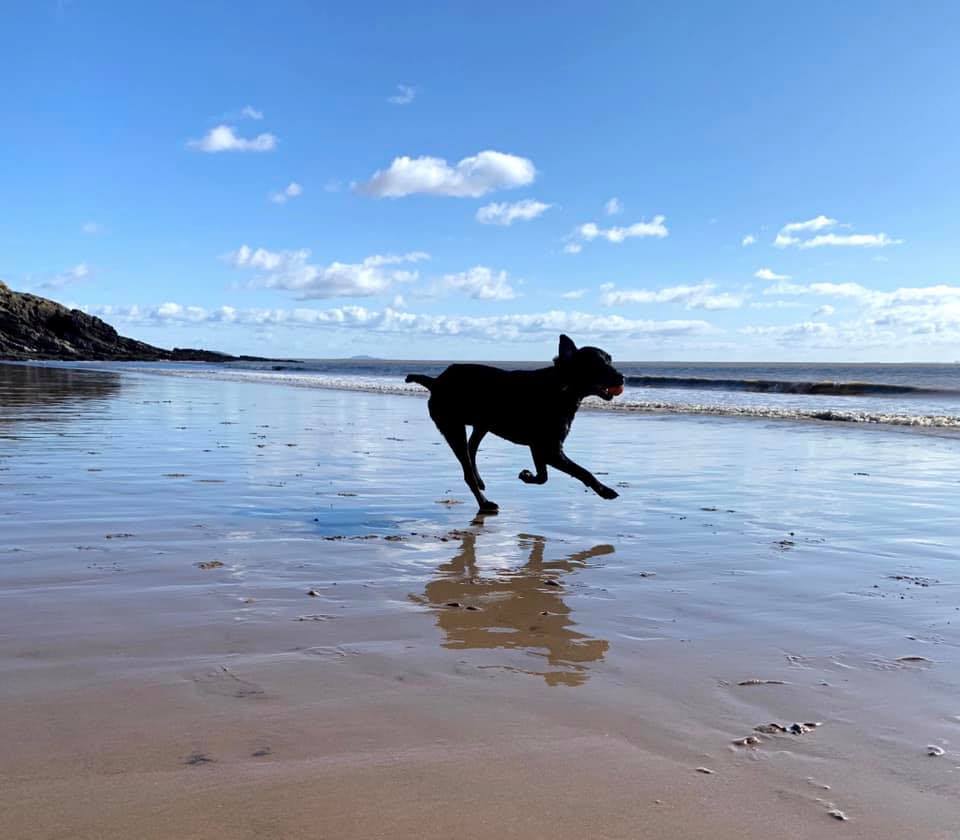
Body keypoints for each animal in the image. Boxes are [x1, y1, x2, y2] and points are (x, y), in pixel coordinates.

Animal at [408, 334, 628, 512]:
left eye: (610, 360)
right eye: (597, 364)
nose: (622, 377)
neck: (562, 387)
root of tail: (435, 382)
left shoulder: (539, 447)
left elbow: (543, 476)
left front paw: (526, 475)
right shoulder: (550, 449)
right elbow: (583, 472)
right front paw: (605, 491)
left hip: (482, 424)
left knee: (471, 450)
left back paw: (480, 481)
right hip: (453, 426)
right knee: (467, 466)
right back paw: (484, 503)